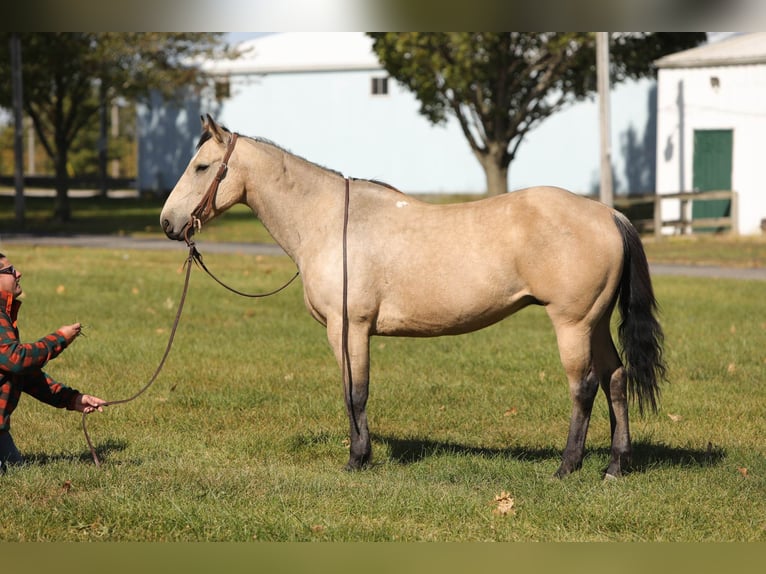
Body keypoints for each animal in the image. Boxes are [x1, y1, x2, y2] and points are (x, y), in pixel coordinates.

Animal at [160, 115, 664, 480]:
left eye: (201, 167)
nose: (168, 223)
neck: (329, 221)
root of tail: (608, 213)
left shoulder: (350, 328)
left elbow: (355, 393)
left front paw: (357, 459)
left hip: (573, 324)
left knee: (585, 386)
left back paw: (567, 466)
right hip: (595, 323)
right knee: (616, 379)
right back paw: (615, 466)